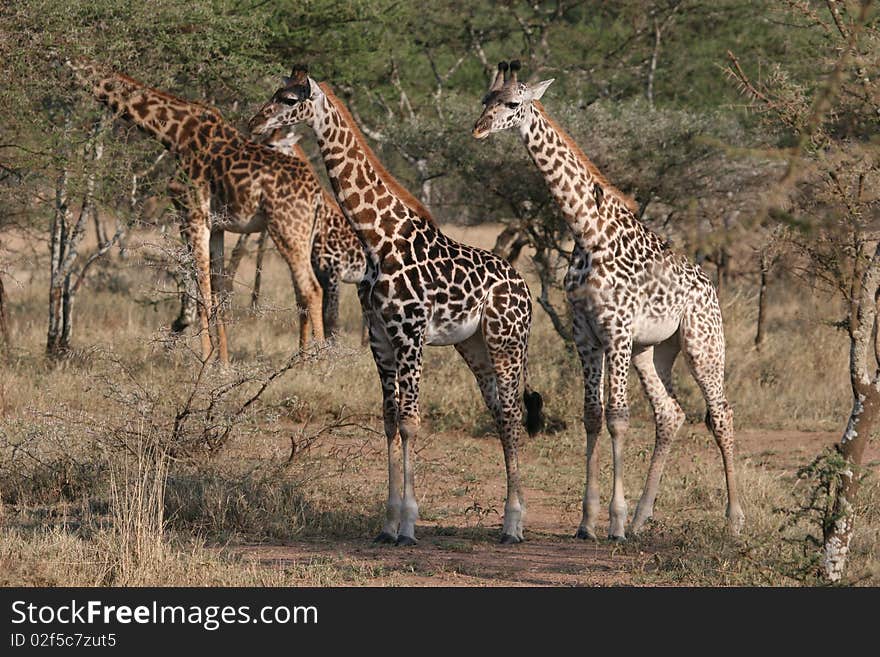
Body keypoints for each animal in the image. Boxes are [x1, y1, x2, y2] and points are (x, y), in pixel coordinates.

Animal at [65, 58, 326, 362]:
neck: (173, 133)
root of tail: (318, 194)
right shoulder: (217, 226)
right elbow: (219, 294)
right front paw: (222, 363)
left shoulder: (191, 214)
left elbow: (201, 293)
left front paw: (206, 359)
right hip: (302, 234)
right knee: (302, 290)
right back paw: (303, 357)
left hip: (286, 229)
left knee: (311, 289)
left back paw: (318, 362)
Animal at [248, 65, 544, 544]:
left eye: (290, 99)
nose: (255, 123)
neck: (377, 237)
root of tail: (524, 288)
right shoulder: (380, 337)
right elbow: (388, 419)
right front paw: (387, 524)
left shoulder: (411, 333)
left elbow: (409, 421)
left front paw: (408, 524)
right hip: (475, 345)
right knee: (501, 413)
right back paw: (507, 520)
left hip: (508, 341)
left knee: (516, 413)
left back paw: (514, 524)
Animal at [474, 60, 744, 540]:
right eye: (484, 100)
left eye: (513, 103)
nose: (479, 129)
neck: (587, 231)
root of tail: (710, 286)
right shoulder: (586, 334)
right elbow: (592, 416)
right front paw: (588, 521)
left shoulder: (616, 331)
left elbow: (618, 417)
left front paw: (613, 521)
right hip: (652, 350)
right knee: (670, 414)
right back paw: (642, 517)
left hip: (702, 343)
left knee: (720, 414)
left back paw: (733, 519)